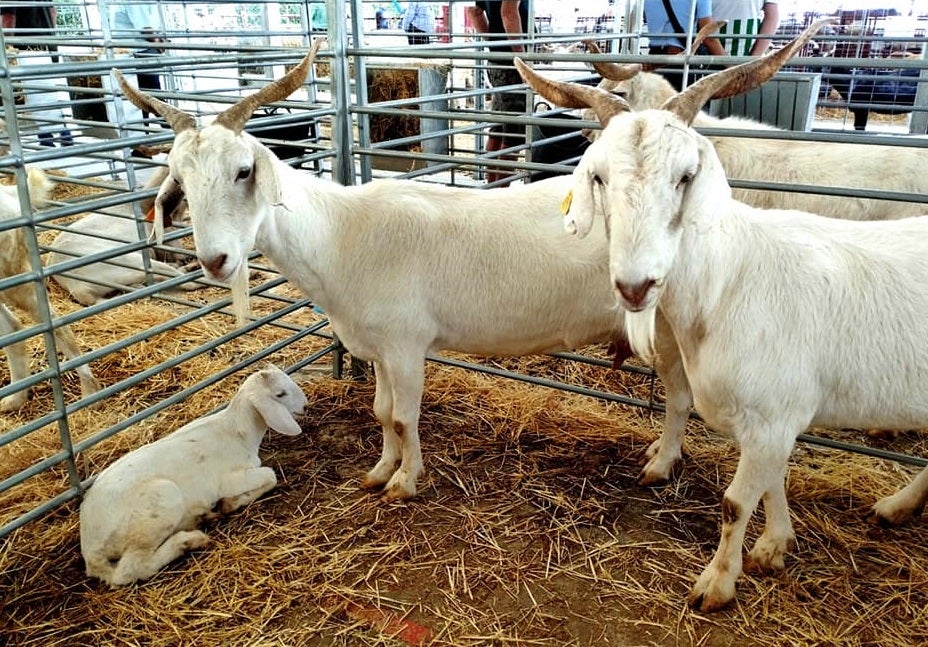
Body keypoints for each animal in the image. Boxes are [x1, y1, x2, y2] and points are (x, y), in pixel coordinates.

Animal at [0, 167, 99, 410]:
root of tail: (10, 194)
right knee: (13, 329)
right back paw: (14, 400)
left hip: (14, 275)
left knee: (56, 325)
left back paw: (90, 395)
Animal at [78, 364, 306, 588]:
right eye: (280, 394)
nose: (305, 406)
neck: (237, 432)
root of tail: (90, 551)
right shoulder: (228, 480)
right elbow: (270, 475)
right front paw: (230, 503)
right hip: (159, 504)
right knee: (130, 569)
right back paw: (188, 541)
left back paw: (203, 518)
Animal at [516, 22, 928, 612]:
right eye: (598, 177)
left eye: (687, 175)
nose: (635, 286)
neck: (730, 279)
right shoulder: (774, 422)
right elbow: (771, 481)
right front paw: (775, 545)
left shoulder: (774, 414)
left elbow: (735, 501)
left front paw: (716, 583)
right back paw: (897, 507)